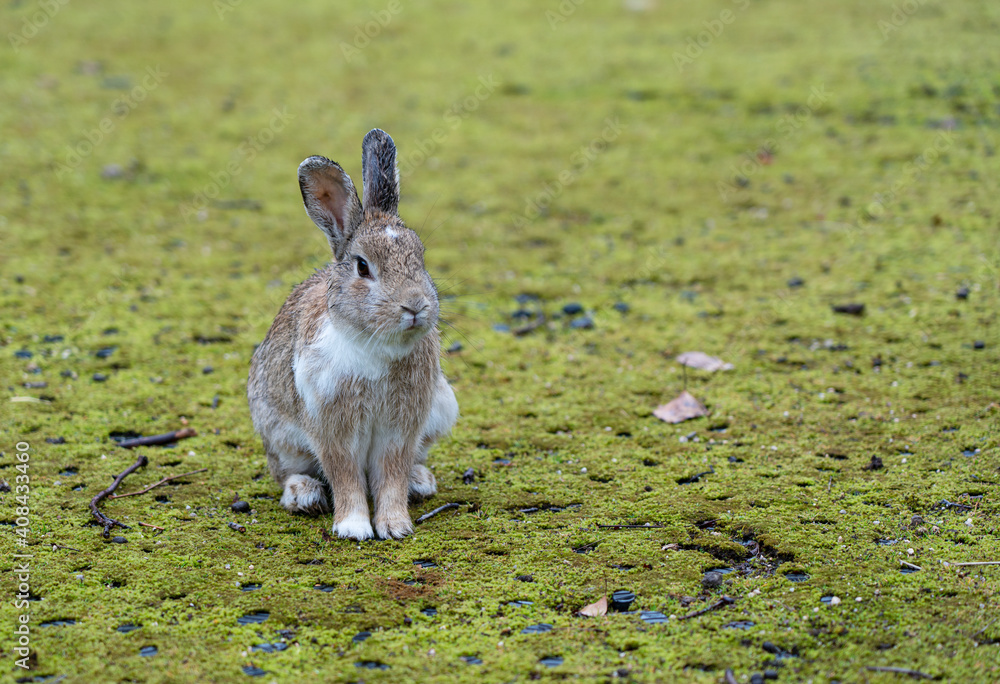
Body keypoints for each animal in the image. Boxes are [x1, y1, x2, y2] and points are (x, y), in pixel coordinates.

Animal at [248, 125, 458, 536]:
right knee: (287, 473)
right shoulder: (332, 427)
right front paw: (354, 527)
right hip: (279, 436)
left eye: (420, 258)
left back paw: (419, 482)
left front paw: (395, 526)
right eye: (363, 267)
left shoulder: (401, 429)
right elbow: (344, 476)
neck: (376, 346)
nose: (415, 306)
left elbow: (391, 476)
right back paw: (303, 494)